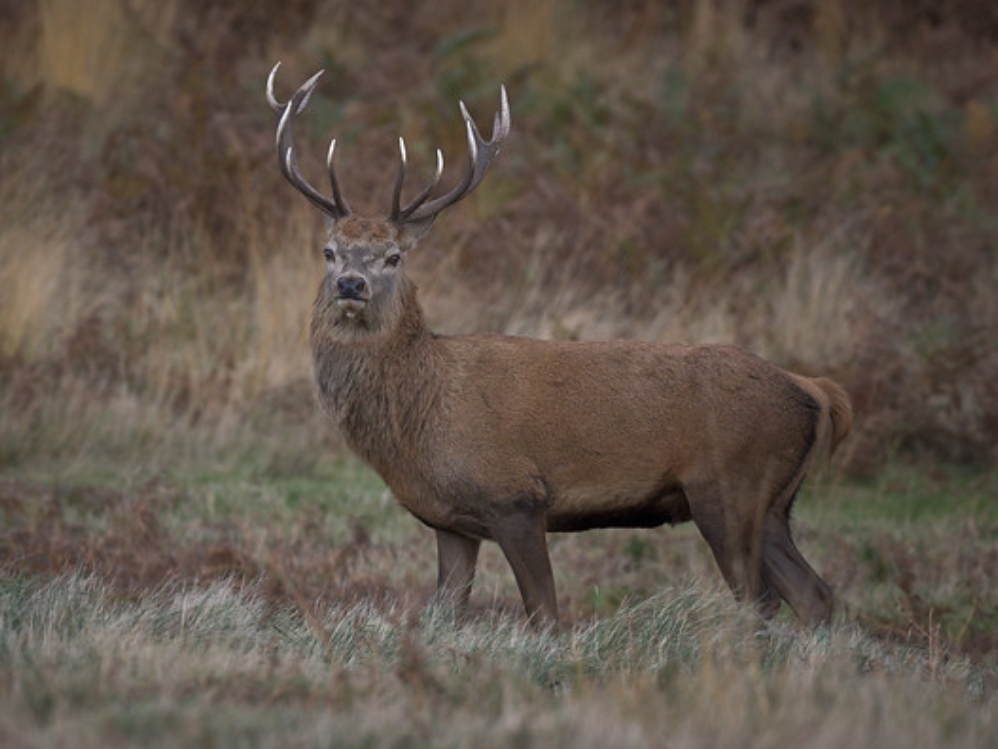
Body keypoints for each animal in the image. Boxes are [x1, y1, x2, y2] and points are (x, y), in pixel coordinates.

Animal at [266, 64, 853, 628]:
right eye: (329, 251)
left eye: (393, 257)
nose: (351, 285)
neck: (421, 416)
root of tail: (814, 391)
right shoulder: (451, 522)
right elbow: (443, 613)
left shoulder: (517, 498)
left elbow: (544, 614)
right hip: (773, 503)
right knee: (815, 594)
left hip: (731, 487)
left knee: (760, 601)